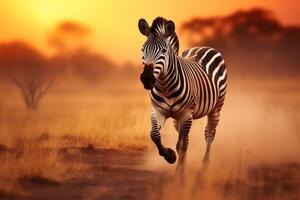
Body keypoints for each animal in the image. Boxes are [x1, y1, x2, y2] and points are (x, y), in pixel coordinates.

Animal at [138, 16, 227, 171]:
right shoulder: (157, 111)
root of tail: (205, 47)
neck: (165, 86)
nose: (147, 79)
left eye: (163, 51)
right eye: (143, 49)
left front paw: (179, 170)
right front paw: (170, 156)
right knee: (186, 138)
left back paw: (205, 165)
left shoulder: (186, 114)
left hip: (216, 108)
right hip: (177, 119)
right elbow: (155, 135)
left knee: (209, 133)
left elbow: (181, 145)